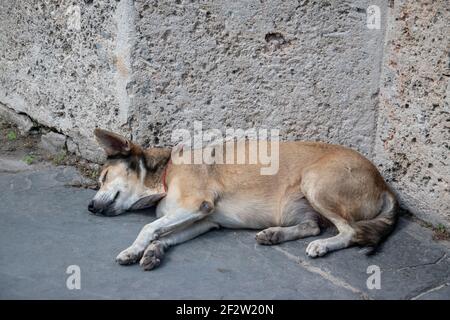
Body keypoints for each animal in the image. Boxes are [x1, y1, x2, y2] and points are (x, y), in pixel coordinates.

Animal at [89, 129, 398, 272]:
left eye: (103, 176)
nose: (89, 207)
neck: (166, 173)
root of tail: (384, 185)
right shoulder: (204, 221)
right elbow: (162, 235)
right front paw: (153, 252)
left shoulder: (196, 205)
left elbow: (148, 228)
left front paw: (133, 249)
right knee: (313, 225)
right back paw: (275, 235)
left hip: (316, 183)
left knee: (349, 232)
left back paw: (323, 245)